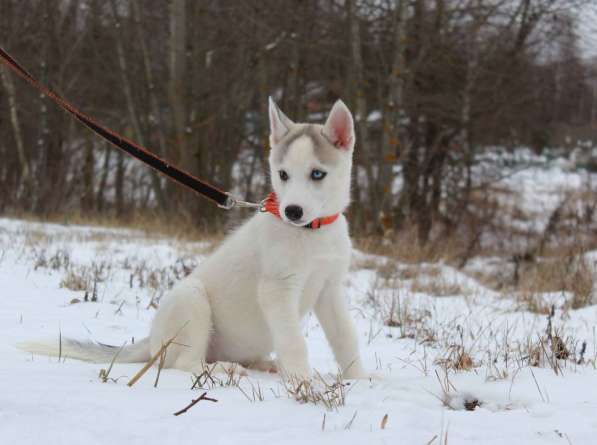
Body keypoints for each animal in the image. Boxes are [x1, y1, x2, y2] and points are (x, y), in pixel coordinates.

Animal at [19, 99, 368, 380]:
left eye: (317, 174)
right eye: (283, 174)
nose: (292, 211)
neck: (313, 233)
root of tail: (151, 340)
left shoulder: (329, 290)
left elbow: (346, 338)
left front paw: (360, 380)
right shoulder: (277, 290)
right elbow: (294, 342)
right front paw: (303, 384)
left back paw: (263, 364)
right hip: (191, 300)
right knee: (185, 364)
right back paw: (225, 369)